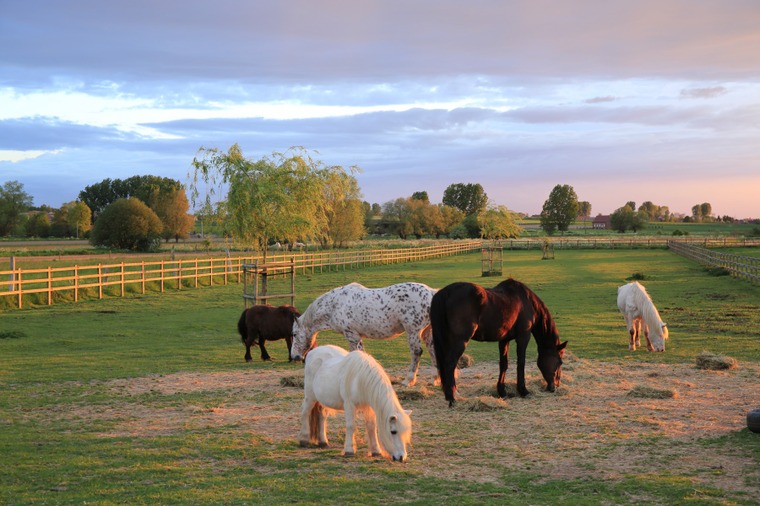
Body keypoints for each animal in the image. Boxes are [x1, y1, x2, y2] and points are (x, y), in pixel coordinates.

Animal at [290, 282, 437, 387]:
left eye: (295, 334)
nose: (294, 356)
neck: (334, 305)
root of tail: (431, 292)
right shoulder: (355, 336)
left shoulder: (352, 335)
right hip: (427, 332)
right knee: (432, 351)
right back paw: (434, 379)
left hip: (413, 332)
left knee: (416, 352)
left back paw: (408, 380)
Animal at [430, 278, 568, 407]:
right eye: (560, 362)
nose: (555, 386)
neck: (526, 301)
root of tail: (445, 292)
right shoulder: (523, 337)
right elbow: (521, 363)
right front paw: (523, 391)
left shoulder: (504, 340)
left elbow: (503, 365)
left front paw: (502, 392)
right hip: (460, 341)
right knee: (450, 364)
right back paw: (452, 398)